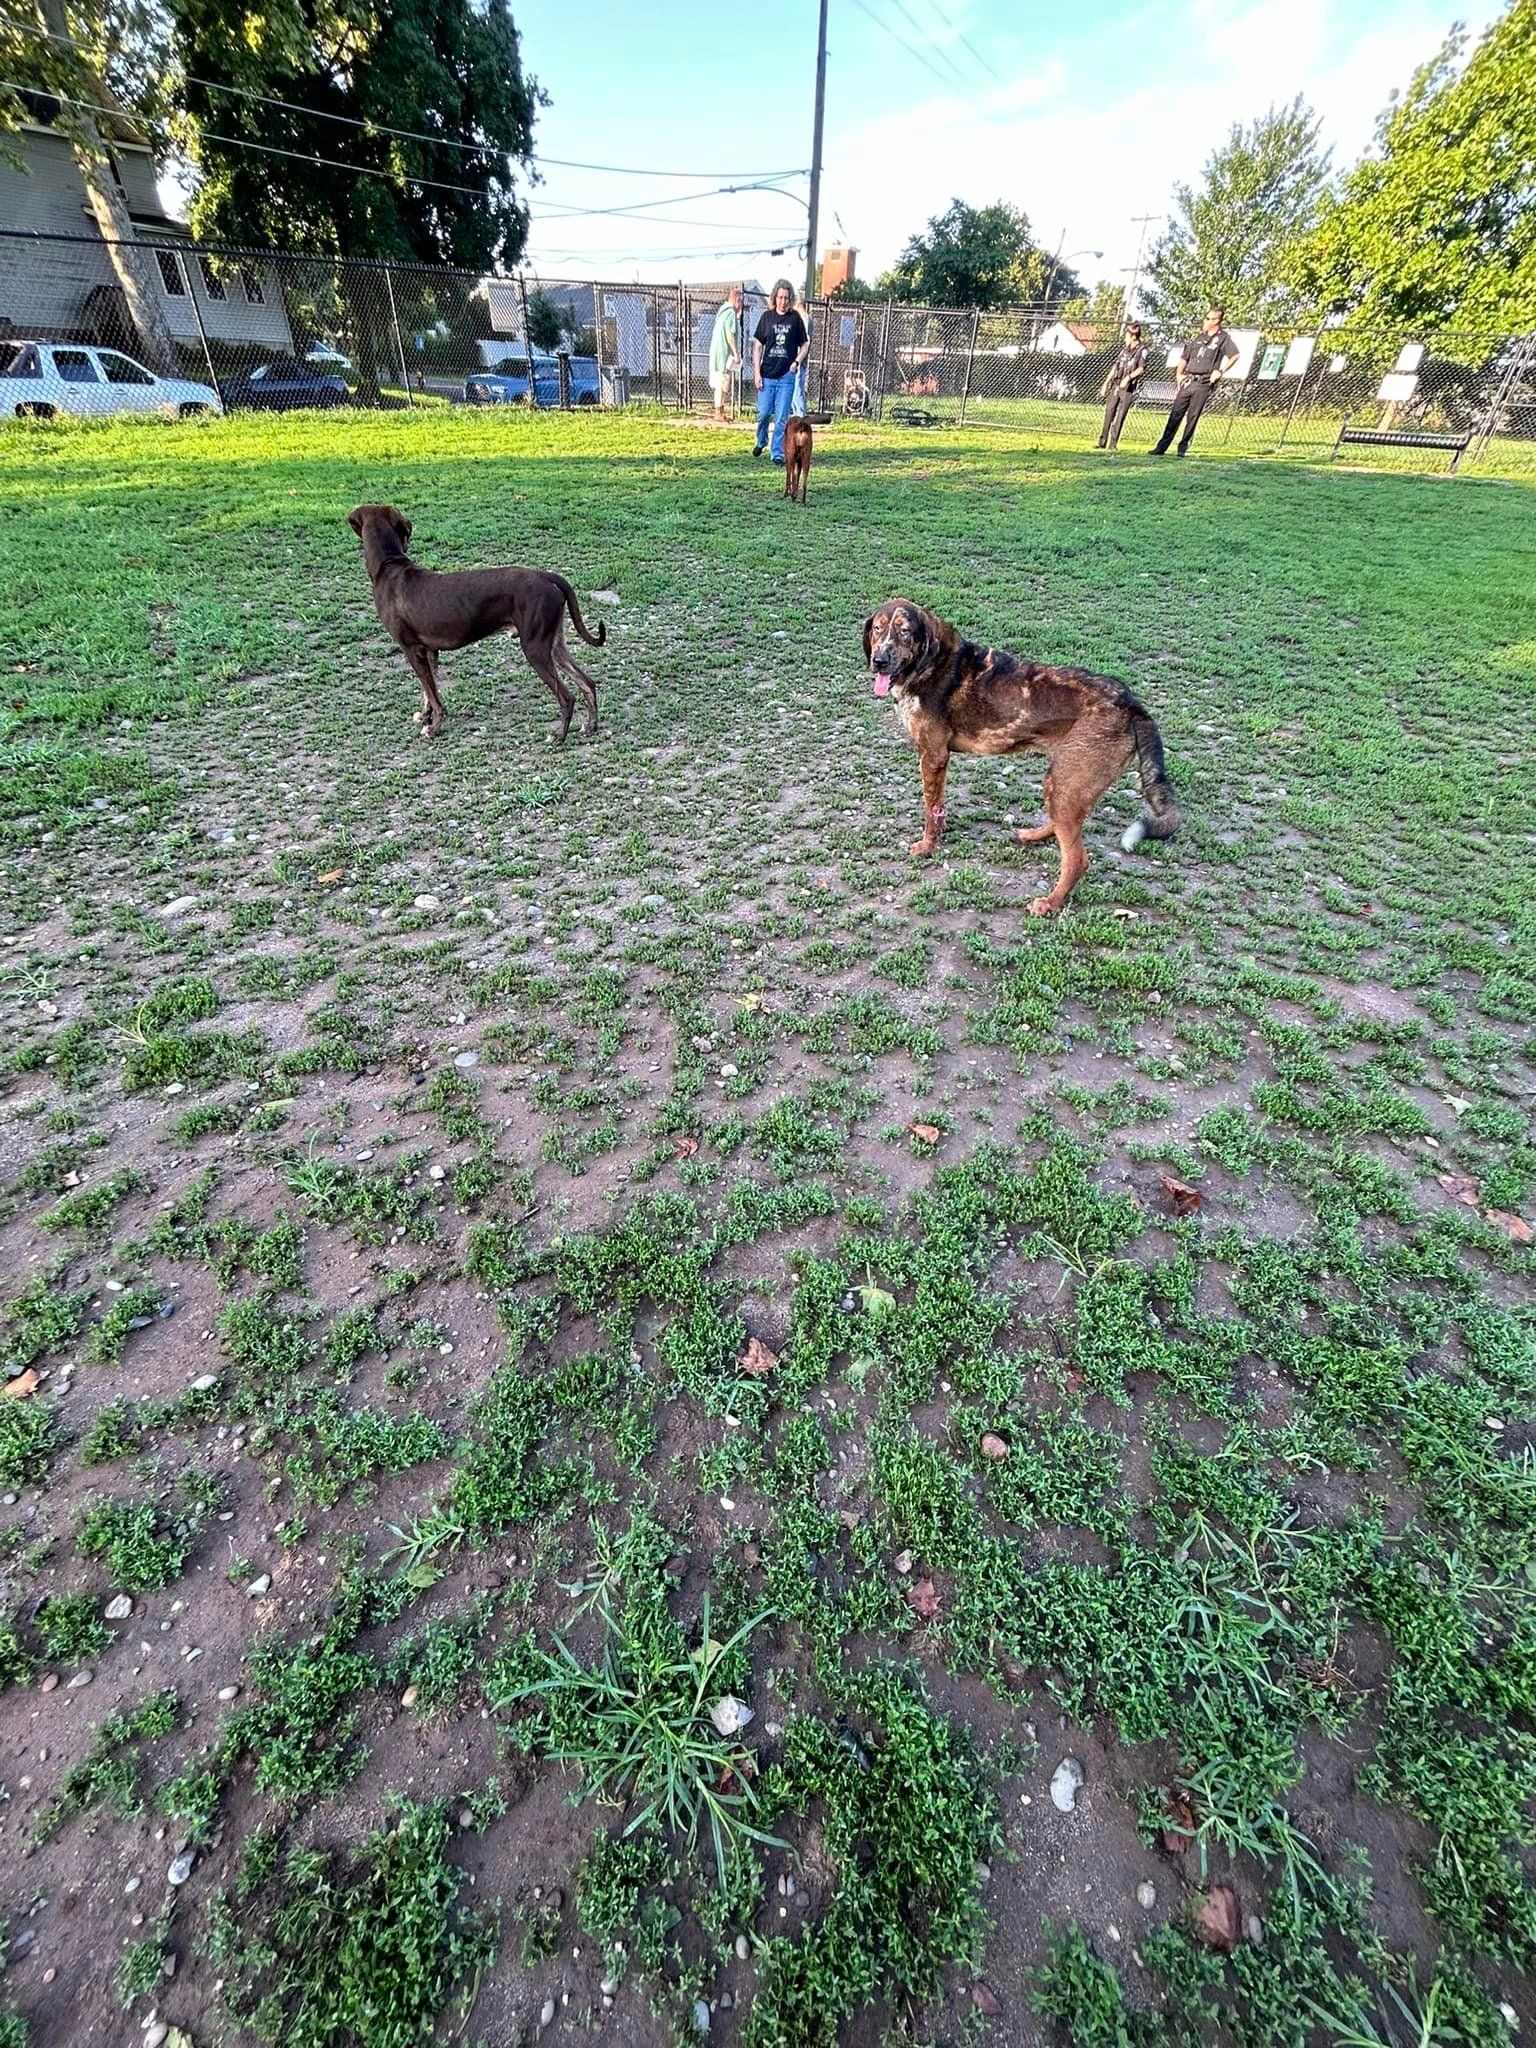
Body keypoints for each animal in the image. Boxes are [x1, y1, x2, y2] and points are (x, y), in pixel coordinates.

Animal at [348, 501, 606, 741]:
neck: (389, 566)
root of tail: (546, 576)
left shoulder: (412, 650)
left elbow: (433, 695)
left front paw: (434, 728)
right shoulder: (429, 652)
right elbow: (428, 692)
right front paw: (425, 717)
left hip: (535, 649)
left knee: (567, 696)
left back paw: (559, 736)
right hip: (554, 645)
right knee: (587, 683)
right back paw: (590, 726)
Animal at [868, 598, 1179, 909]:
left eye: (905, 631)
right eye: (877, 629)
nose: (878, 661)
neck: (931, 663)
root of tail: (1133, 704)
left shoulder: (933, 756)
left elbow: (931, 810)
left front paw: (927, 846)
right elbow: (939, 808)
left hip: (1065, 783)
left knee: (1077, 859)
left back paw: (1050, 903)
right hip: (1068, 783)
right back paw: (1032, 836)